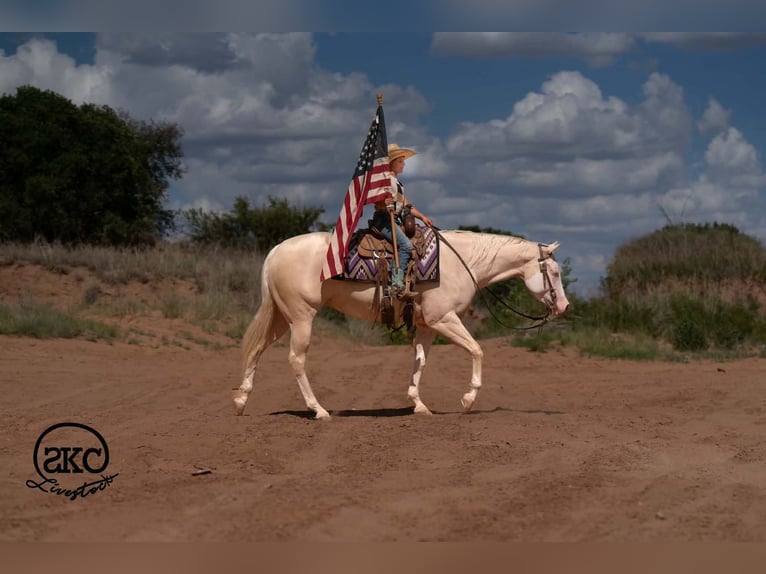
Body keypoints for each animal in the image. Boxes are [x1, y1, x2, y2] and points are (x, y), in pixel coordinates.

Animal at [233, 229, 570, 419]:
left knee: (256, 351)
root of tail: (276, 251)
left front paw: (419, 405)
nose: (564, 306)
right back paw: (319, 410)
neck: (460, 263)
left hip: (280, 317)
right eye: (554, 273)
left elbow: (419, 361)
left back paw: (240, 401)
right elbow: (476, 351)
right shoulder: (444, 319)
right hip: (301, 318)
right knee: (296, 360)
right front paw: (468, 400)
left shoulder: (427, 325)